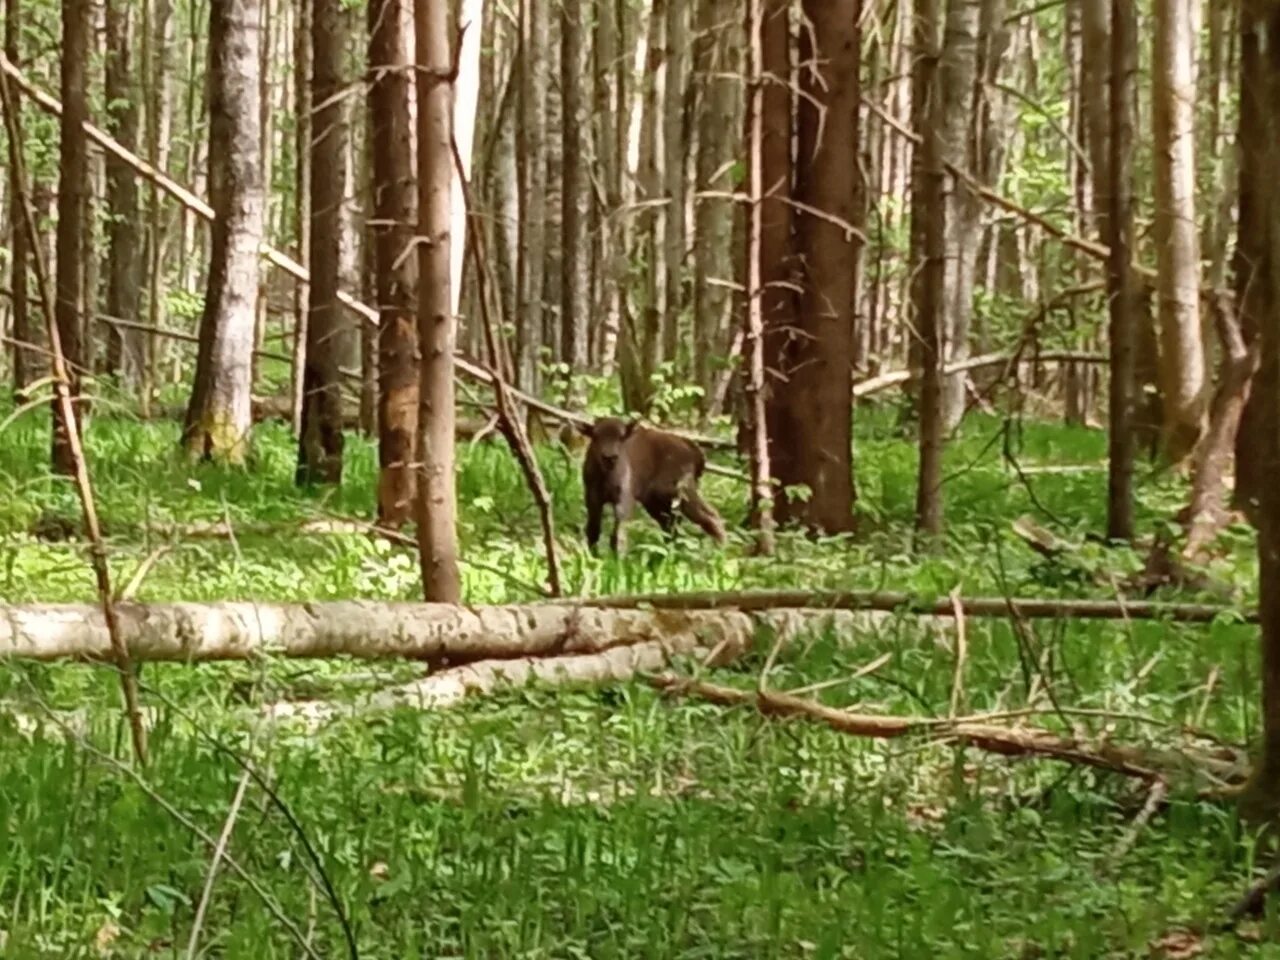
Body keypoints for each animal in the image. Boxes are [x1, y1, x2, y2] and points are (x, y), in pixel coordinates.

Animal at [578, 414, 727, 555]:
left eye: (621, 437)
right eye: (595, 436)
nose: (610, 457)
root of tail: (693, 449)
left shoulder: (624, 499)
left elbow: (618, 534)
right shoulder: (592, 498)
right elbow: (593, 530)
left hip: (681, 493)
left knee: (710, 516)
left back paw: (720, 552)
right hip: (656, 503)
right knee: (671, 526)